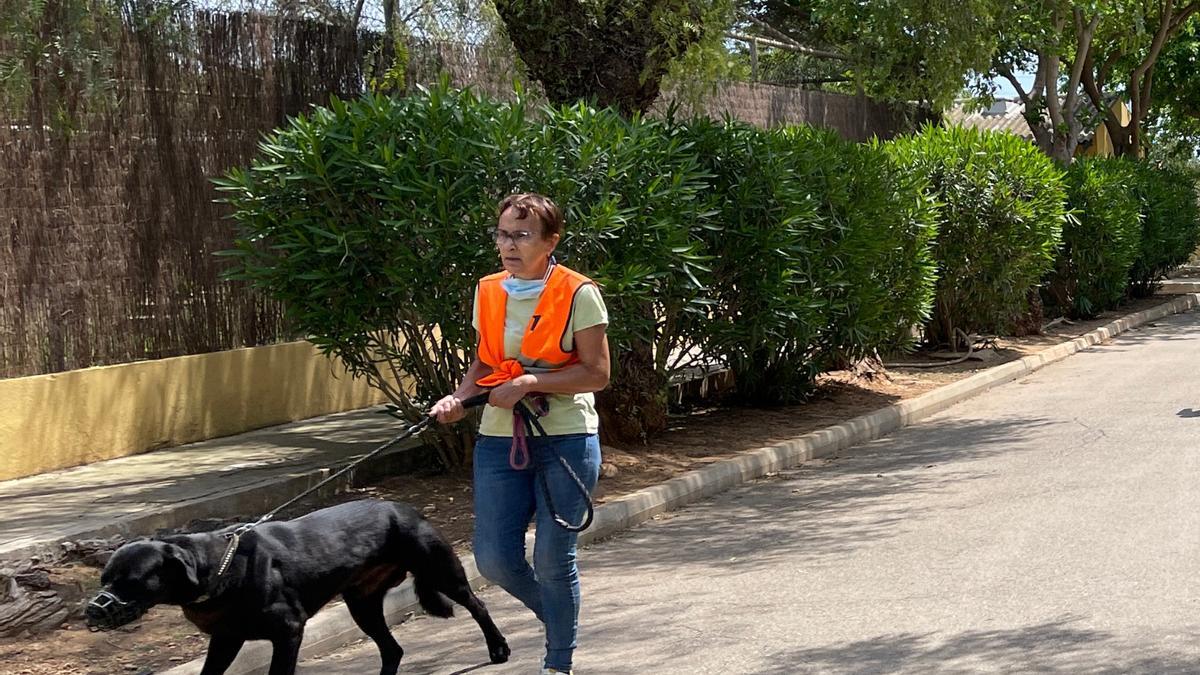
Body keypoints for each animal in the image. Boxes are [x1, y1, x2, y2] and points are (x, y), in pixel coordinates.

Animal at [87, 494, 508, 672]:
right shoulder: (225, 639)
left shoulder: (288, 631)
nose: (92, 610)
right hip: (362, 605)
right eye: (105, 578)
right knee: (392, 650)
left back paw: (498, 648)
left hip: (442, 572)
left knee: (478, 606)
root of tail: (406, 509)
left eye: (131, 581)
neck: (218, 567)